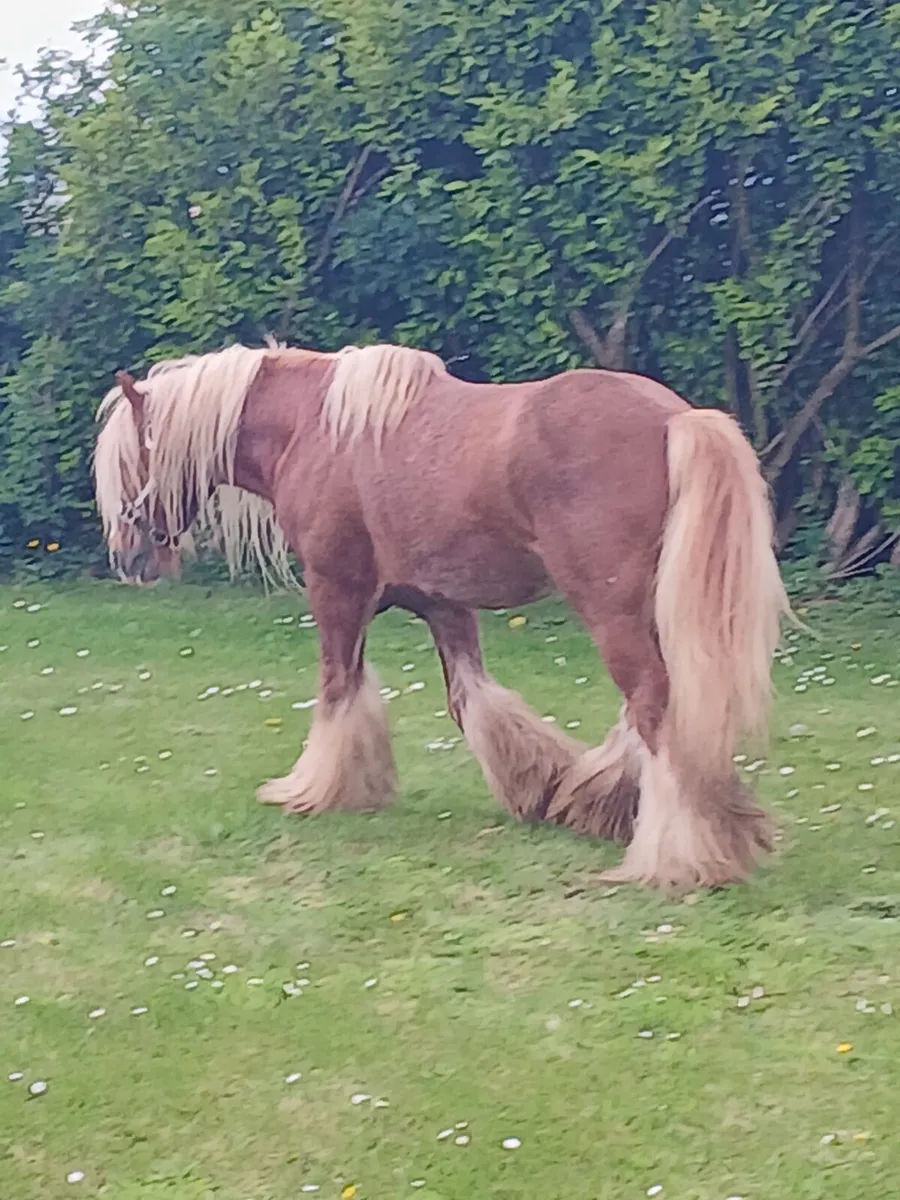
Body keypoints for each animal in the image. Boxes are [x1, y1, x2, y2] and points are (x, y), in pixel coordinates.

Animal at [93, 342, 790, 890]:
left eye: (132, 460)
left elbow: (338, 687)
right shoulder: (441, 603)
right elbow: (473, 700)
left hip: (609, 607)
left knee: (651, 706)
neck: (315, 427)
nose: (129, 558)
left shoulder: (336, 588)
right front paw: (536, 787)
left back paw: (675, 855)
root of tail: (678, 419)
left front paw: (315, 790)